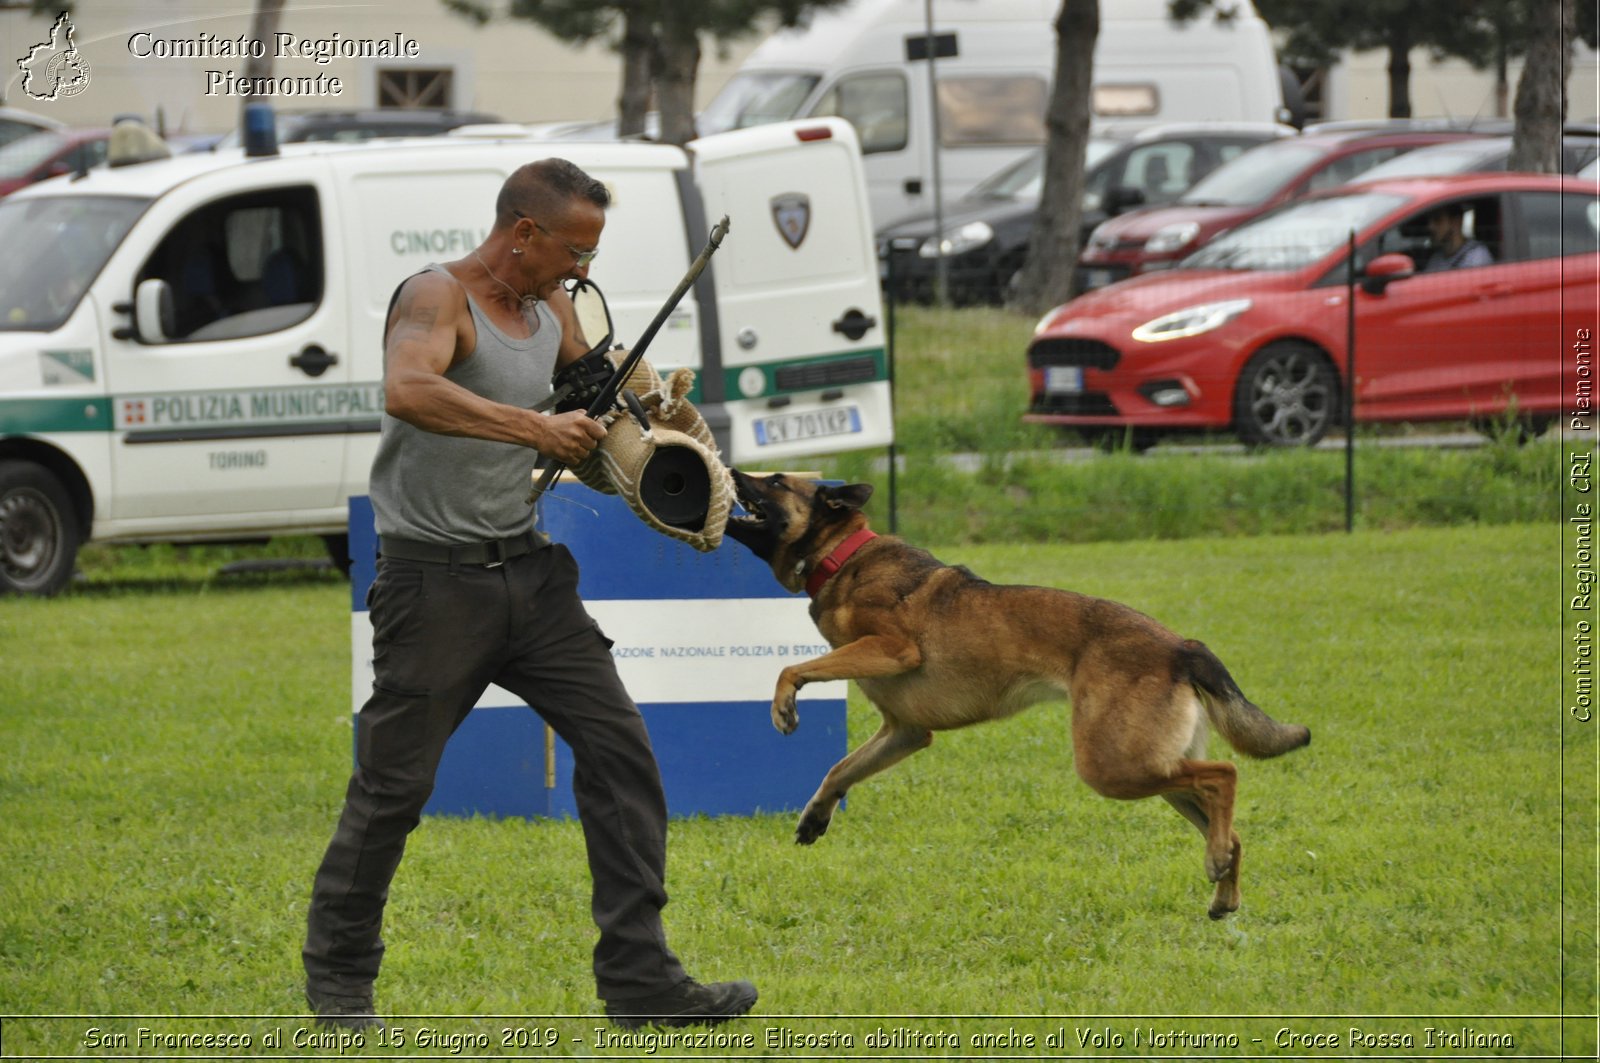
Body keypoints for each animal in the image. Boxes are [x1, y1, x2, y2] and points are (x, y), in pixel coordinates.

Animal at [726, 470, 1312, 915]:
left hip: (1113, 765)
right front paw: (814, 817)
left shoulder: (892, 649)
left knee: (1225, 775)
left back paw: (1216, 863)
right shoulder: (906, 732)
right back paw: (1223, 890)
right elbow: (838, 770)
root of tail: (1180, 646)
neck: (841, 555)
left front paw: (783, 705)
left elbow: (793, 668)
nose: (729, 468)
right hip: (1151, 768)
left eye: (775, 481)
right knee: (1228, 825)